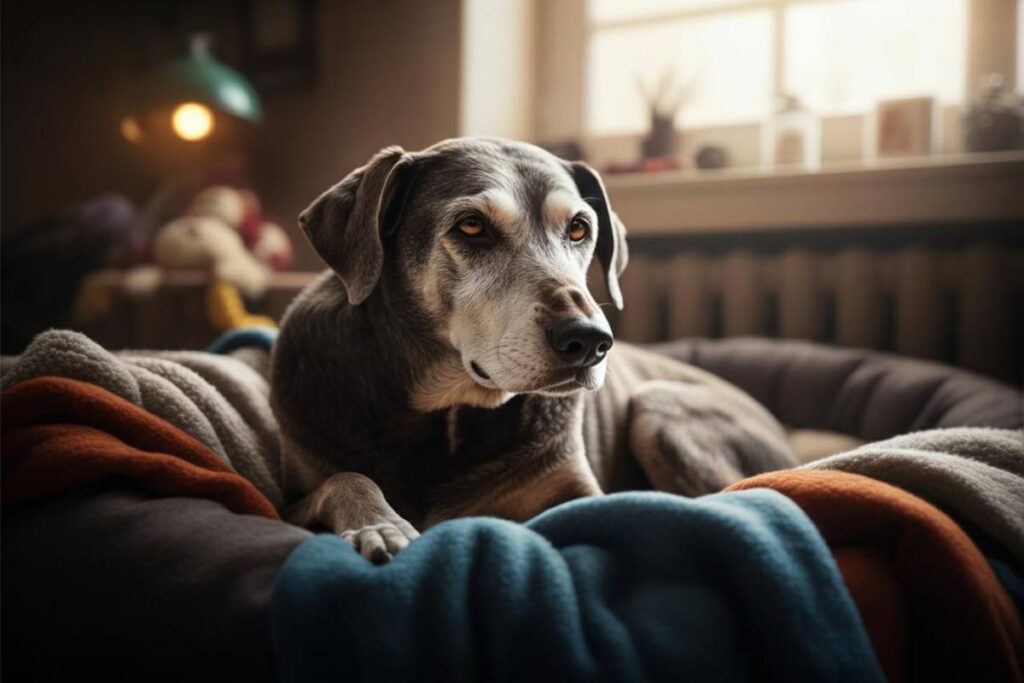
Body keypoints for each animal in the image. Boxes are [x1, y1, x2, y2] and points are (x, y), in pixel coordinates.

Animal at [268, 136, 794, 565]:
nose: (590, 341)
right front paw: (379, 524)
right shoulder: (289, 496)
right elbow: (343, 479)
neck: (448, 416)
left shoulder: (576, 489)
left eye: (580, 229)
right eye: (472, 226)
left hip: (657, 404)